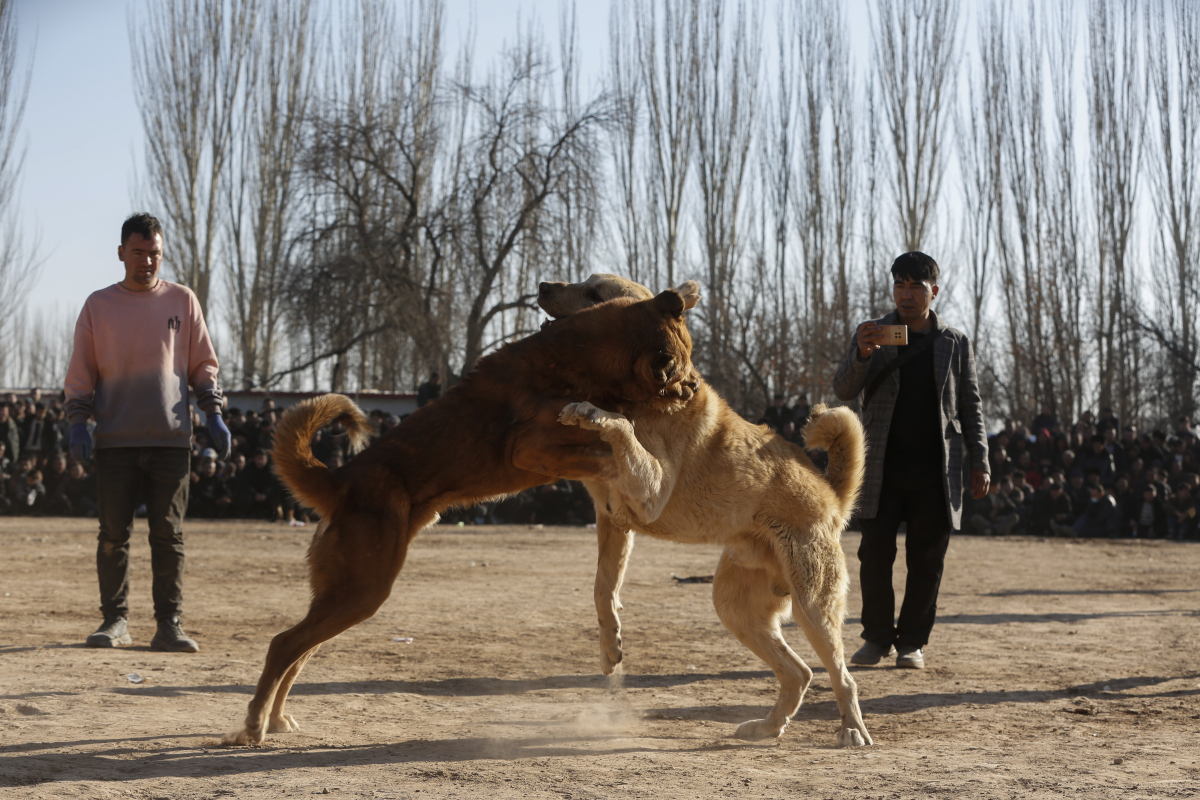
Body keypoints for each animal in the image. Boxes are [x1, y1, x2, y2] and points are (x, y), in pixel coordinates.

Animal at [223, 291, 700, 748]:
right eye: (686, 362)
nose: (696, 386)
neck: (584, 358)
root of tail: (340, 482)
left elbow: (616, 444)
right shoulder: (530, 447)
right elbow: (611, 450)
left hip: (345, 595)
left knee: (298, 652)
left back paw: (276, 719)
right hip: (362, 590)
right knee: (283, 645)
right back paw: (253, 726)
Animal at [544, 275, 873, 753]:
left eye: (594, 294)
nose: (541, 287)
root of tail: (832, 496)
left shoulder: (649, 494)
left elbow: (619, 426)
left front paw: (593, 412)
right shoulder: (613, 519)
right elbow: (603, 590)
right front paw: (610, 649)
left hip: (813, 607)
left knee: (840, 676)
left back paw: (851, 728)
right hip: (736, 608)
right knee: (799, 672)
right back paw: (767, 727)